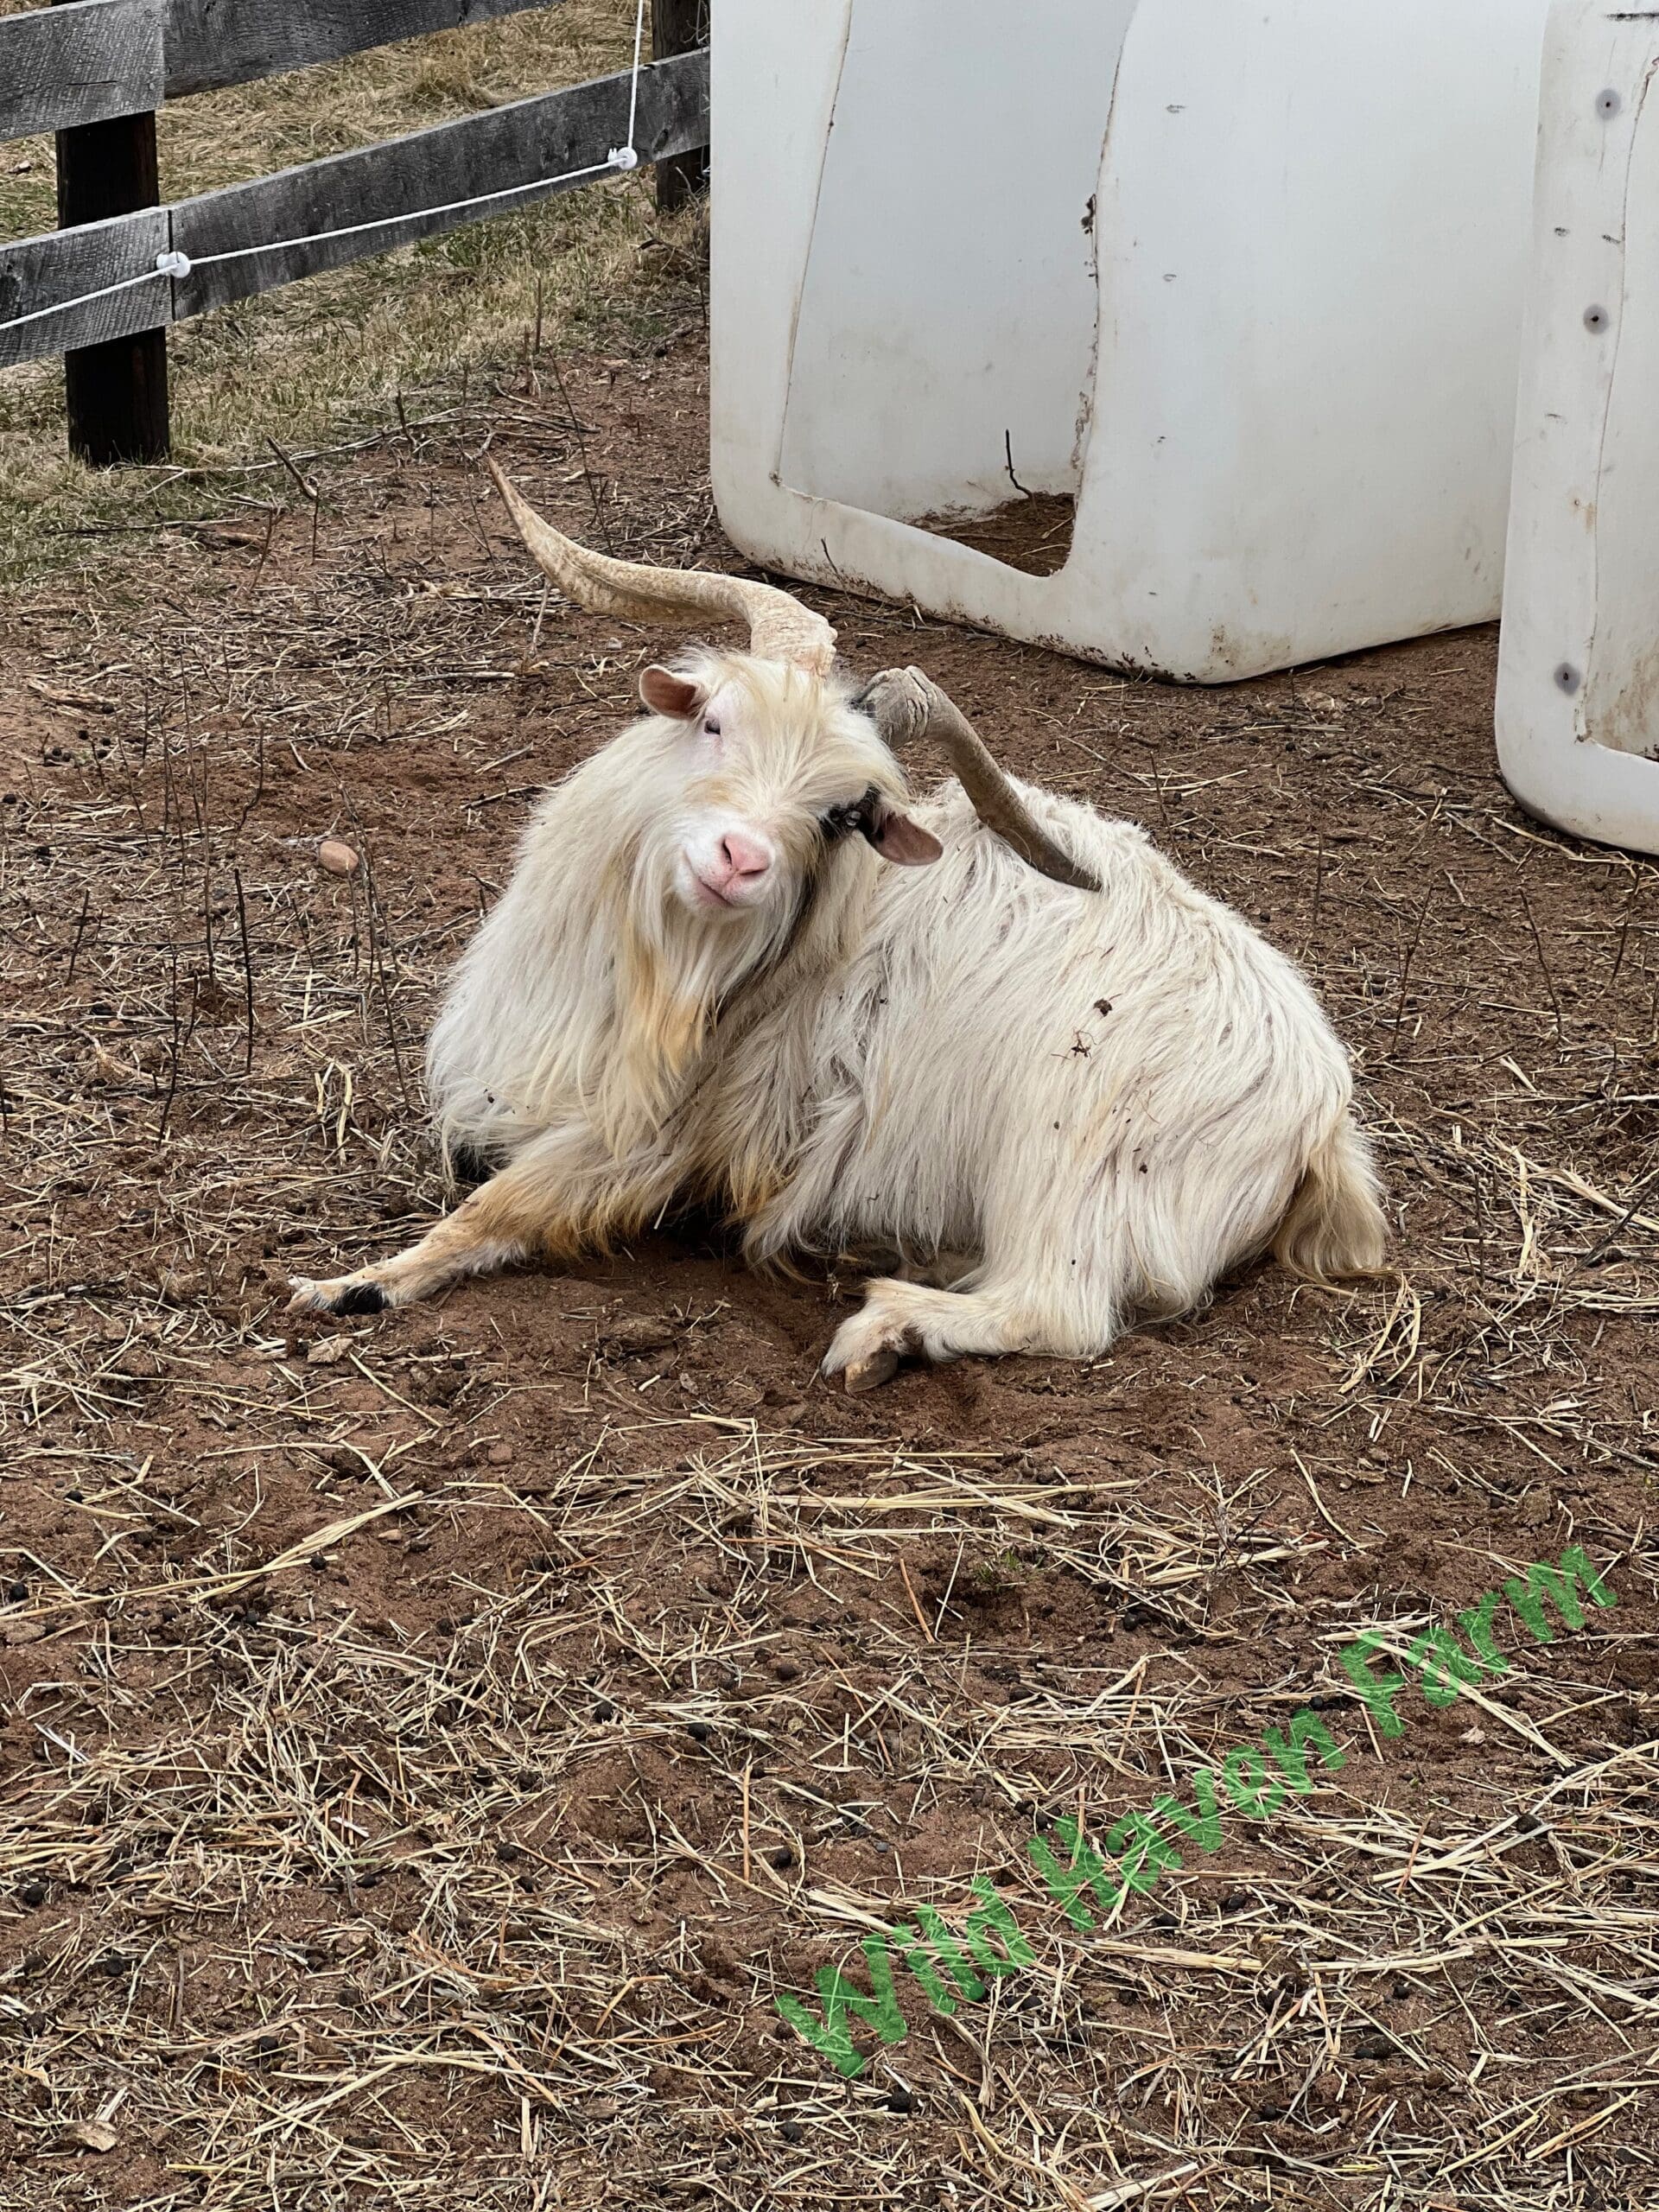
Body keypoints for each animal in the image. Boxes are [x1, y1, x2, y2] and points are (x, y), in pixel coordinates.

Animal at [296, 468, 1389, 1389]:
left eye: (840, 816)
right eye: (714, 721)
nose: (739, 859)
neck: (653, 972)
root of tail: (1320, 1122)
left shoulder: (657, 1141)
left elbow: (503, 1203)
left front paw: (351, 1285)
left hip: (1069, 1154)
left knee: (1060, 1307)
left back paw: (888, 1327)